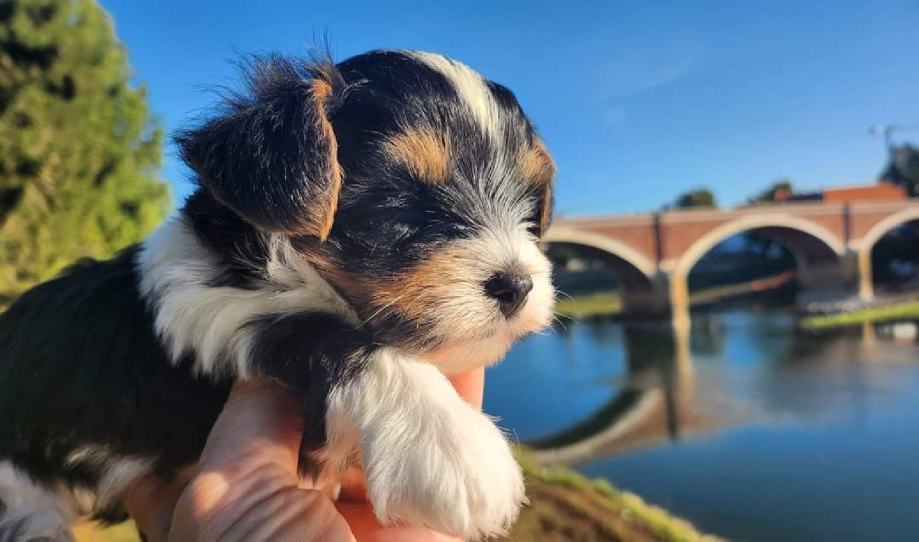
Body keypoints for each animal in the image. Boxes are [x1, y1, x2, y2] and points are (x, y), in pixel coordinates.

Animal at [0, 49, 556, 540]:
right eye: (398, 203)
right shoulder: (199, 303)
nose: (516, 284)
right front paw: (449, 444)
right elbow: (315, 327)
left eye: (530, 211)